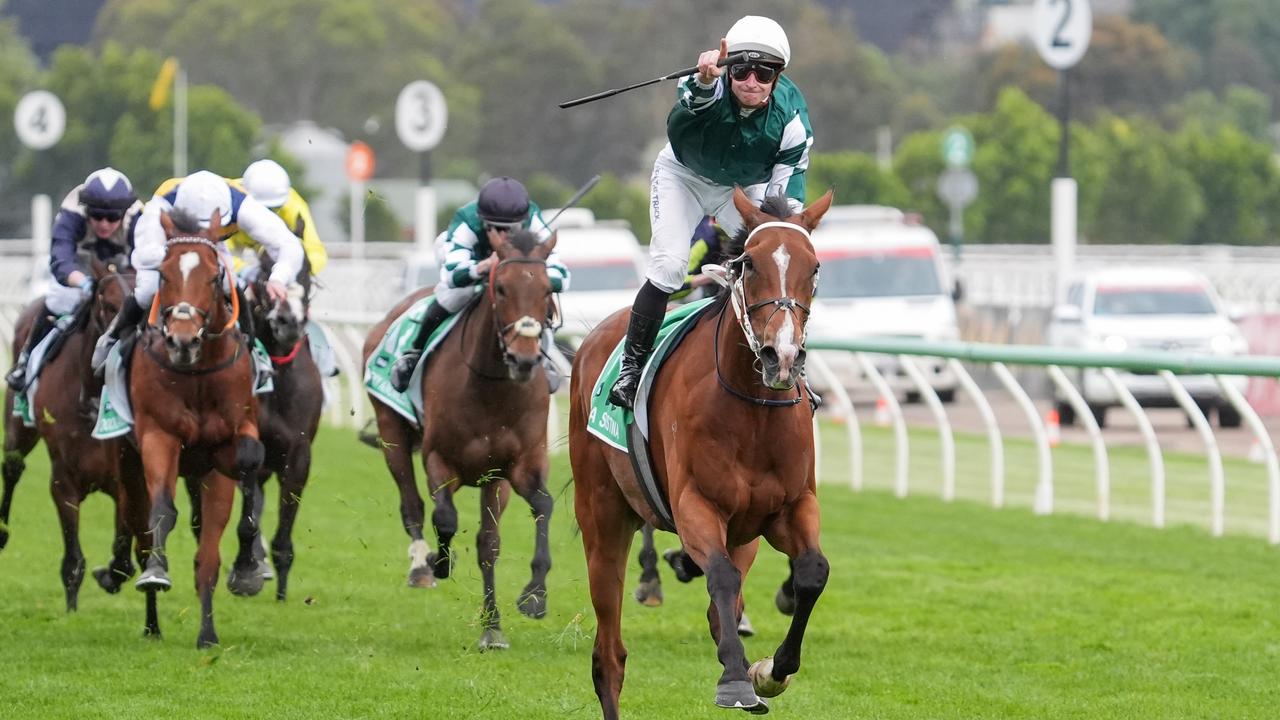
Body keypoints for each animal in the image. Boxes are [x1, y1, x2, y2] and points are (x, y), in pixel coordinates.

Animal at [0, 257, 145, 604]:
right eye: (108, 304)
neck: (90, 398)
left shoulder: (124, 476)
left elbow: (122, 558)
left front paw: (111, 574)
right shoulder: (62, 478)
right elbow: (73, 563)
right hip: (18, 424)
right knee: (12, 465)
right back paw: (1, 531)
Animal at [363, 228, 558, 650]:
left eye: (548, 288)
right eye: (500, 287)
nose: (524, 359)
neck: (491, 388)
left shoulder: (511, 469)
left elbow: (523, 521)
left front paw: (524, 603)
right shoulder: (439, 459)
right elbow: (446, 518)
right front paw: (439, 562)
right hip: (391, 431)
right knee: (412, 505)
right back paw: (422, 568)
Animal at [568, 188, 829, 712]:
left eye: (813, 267)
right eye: (748, 264)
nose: (782, 356)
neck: (753, 410)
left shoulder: (790, 507)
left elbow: (812, 571)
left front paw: (771, 670)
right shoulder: (695, 505)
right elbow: (721, 577)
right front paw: (735, 680)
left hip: (745, 532)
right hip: (602, 517)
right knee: (609, 655)